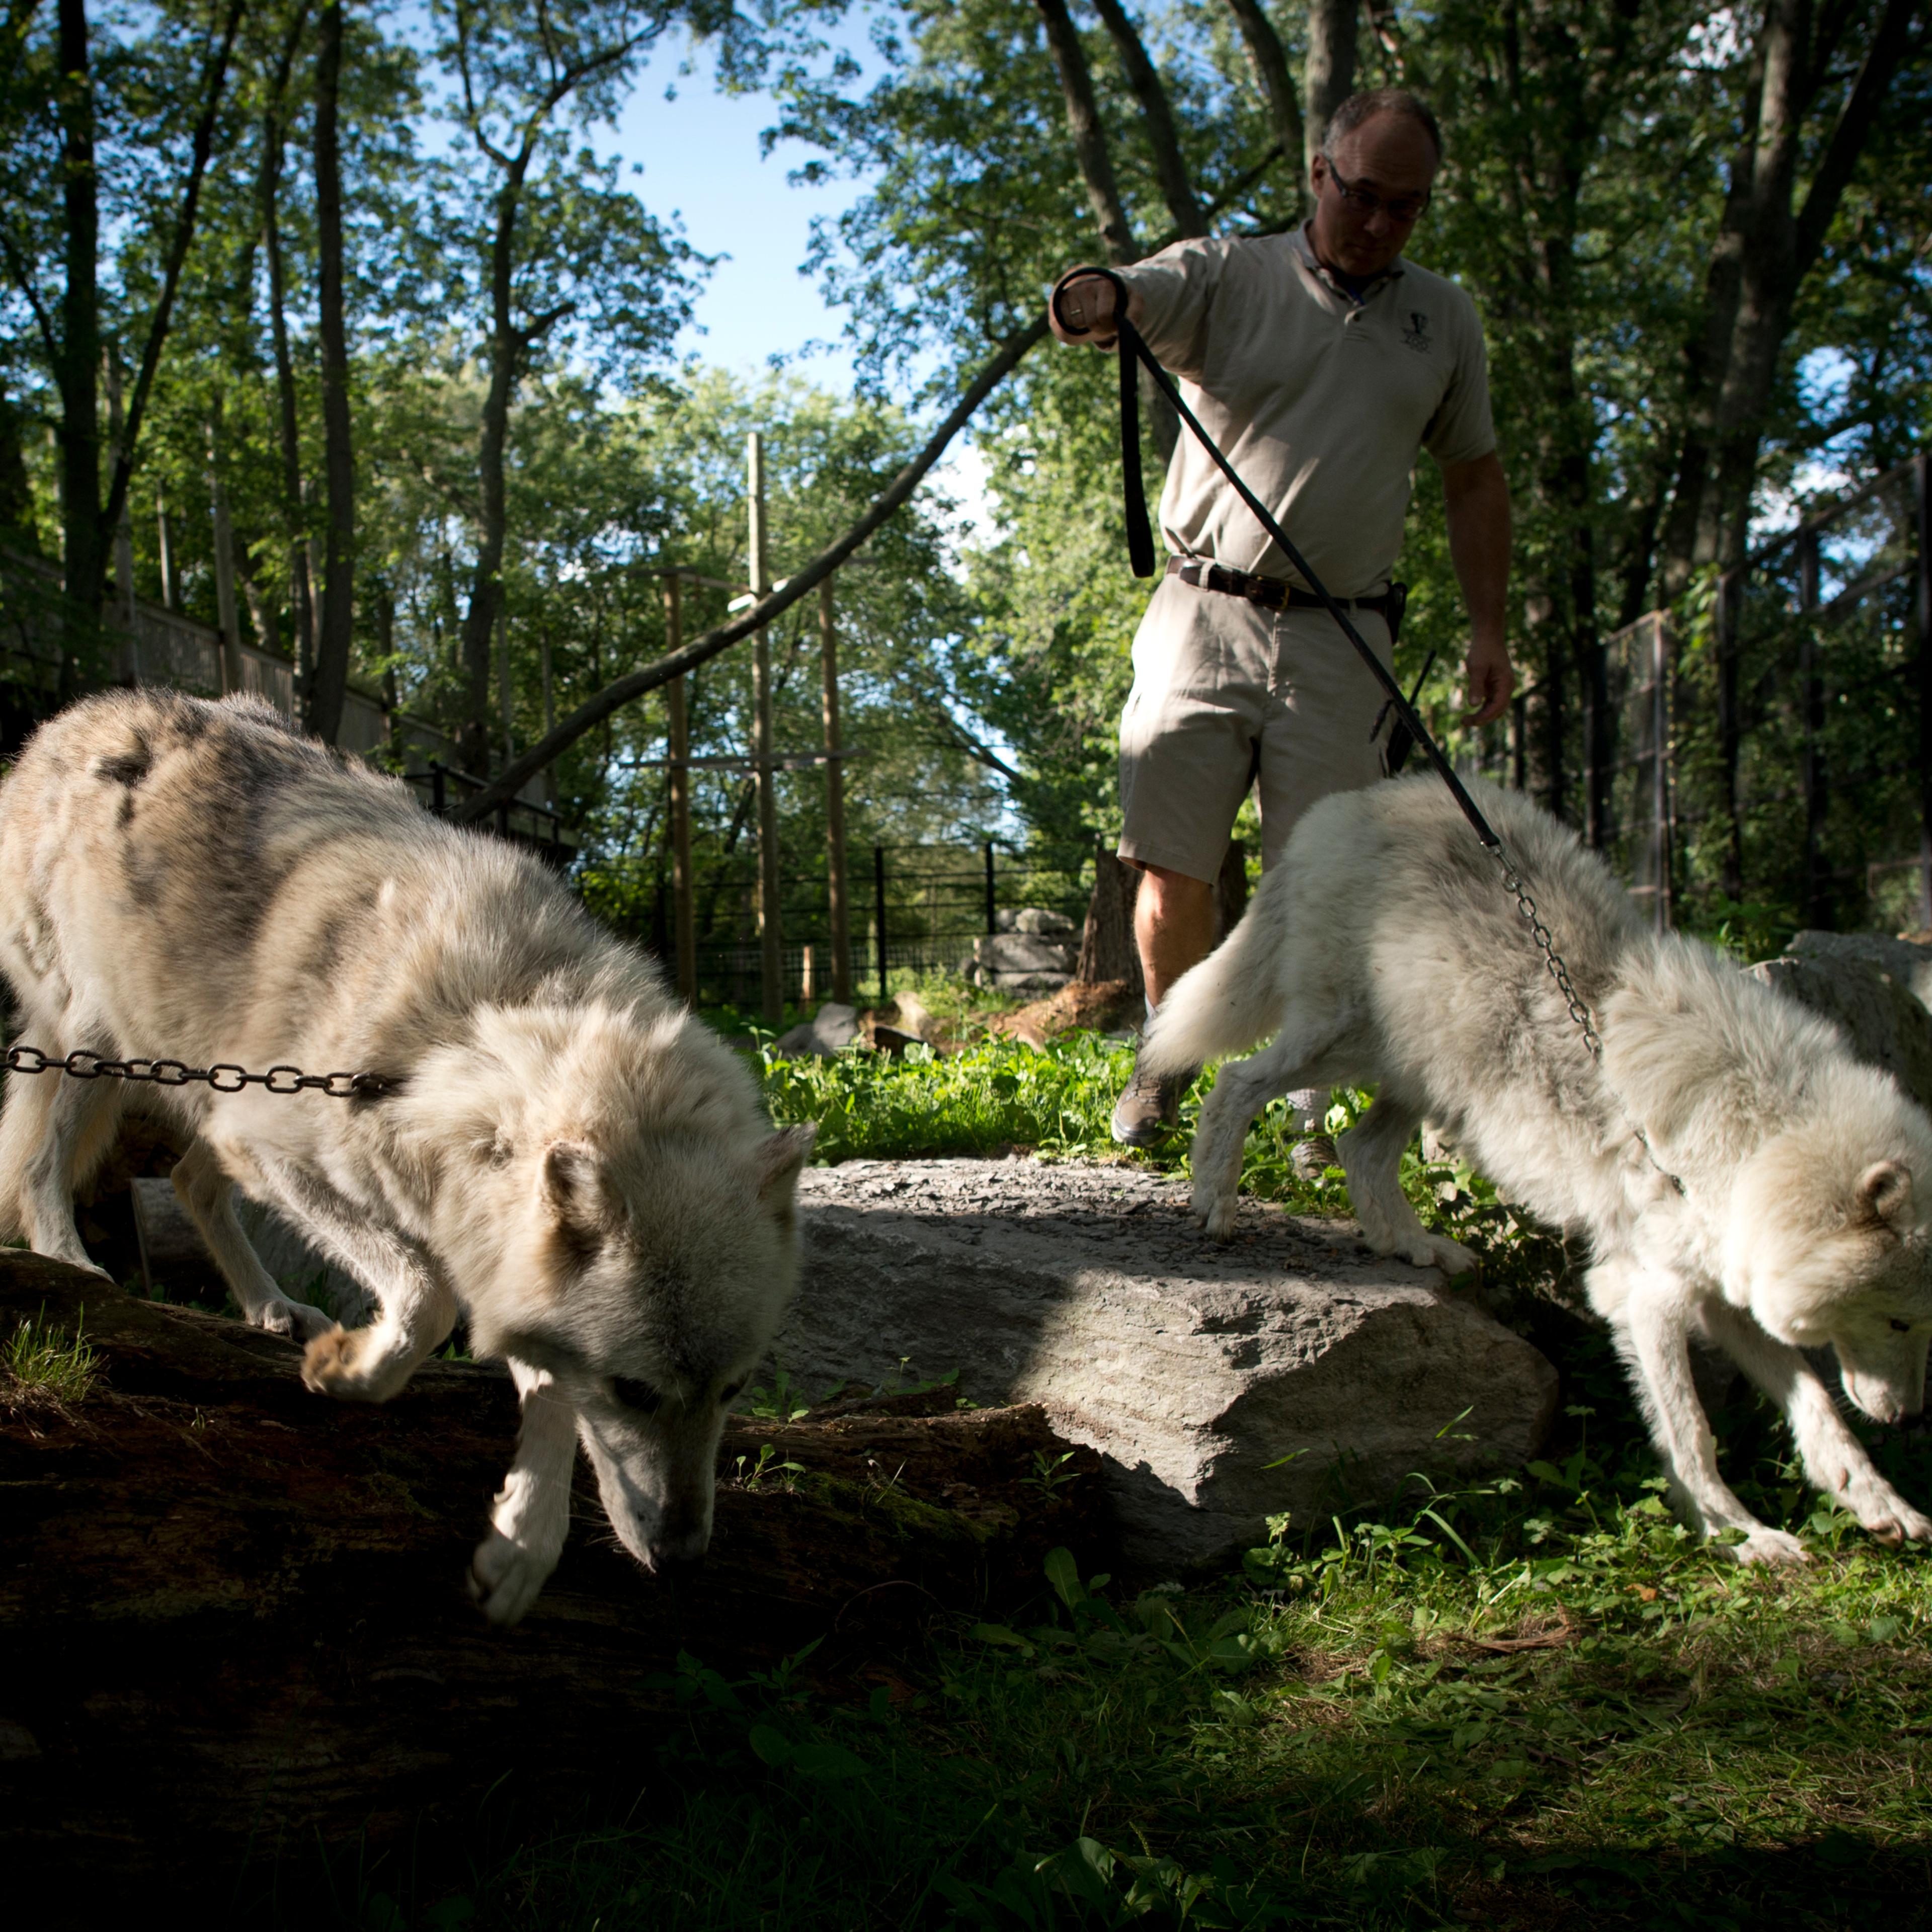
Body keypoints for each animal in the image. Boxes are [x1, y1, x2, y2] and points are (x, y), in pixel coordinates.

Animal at [0, 689, 814, 1623]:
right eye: (634, 1392)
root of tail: (78, 715)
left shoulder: (475, 1238)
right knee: (42, 1167)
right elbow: (427, 1301)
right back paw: (72, 1264)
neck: (465, 1044)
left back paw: (271, 1308)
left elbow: (542, 1386)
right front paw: (351, 1372)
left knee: (188, 1181)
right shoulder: (286, 1150)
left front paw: (521, 1546)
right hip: (99, 1049)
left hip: (209, 1086)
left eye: (735, 1390)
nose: (682, 1562)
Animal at [1141, 771, 1932, 1564]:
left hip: (1426, 1074)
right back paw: (1215, 1202)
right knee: (1236, 1083)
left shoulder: (1721, 1290)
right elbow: (1694, 1432)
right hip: (1345, 1045)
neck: (1748, 1143)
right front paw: (1738, 1534)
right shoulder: (1645, 1295)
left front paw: (1879, 1503)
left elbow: (1821, 1411)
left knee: (1361, 1150)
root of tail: (1349, 805)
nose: (1909, 1420)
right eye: (1898, 1322)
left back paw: (1414, 1245)